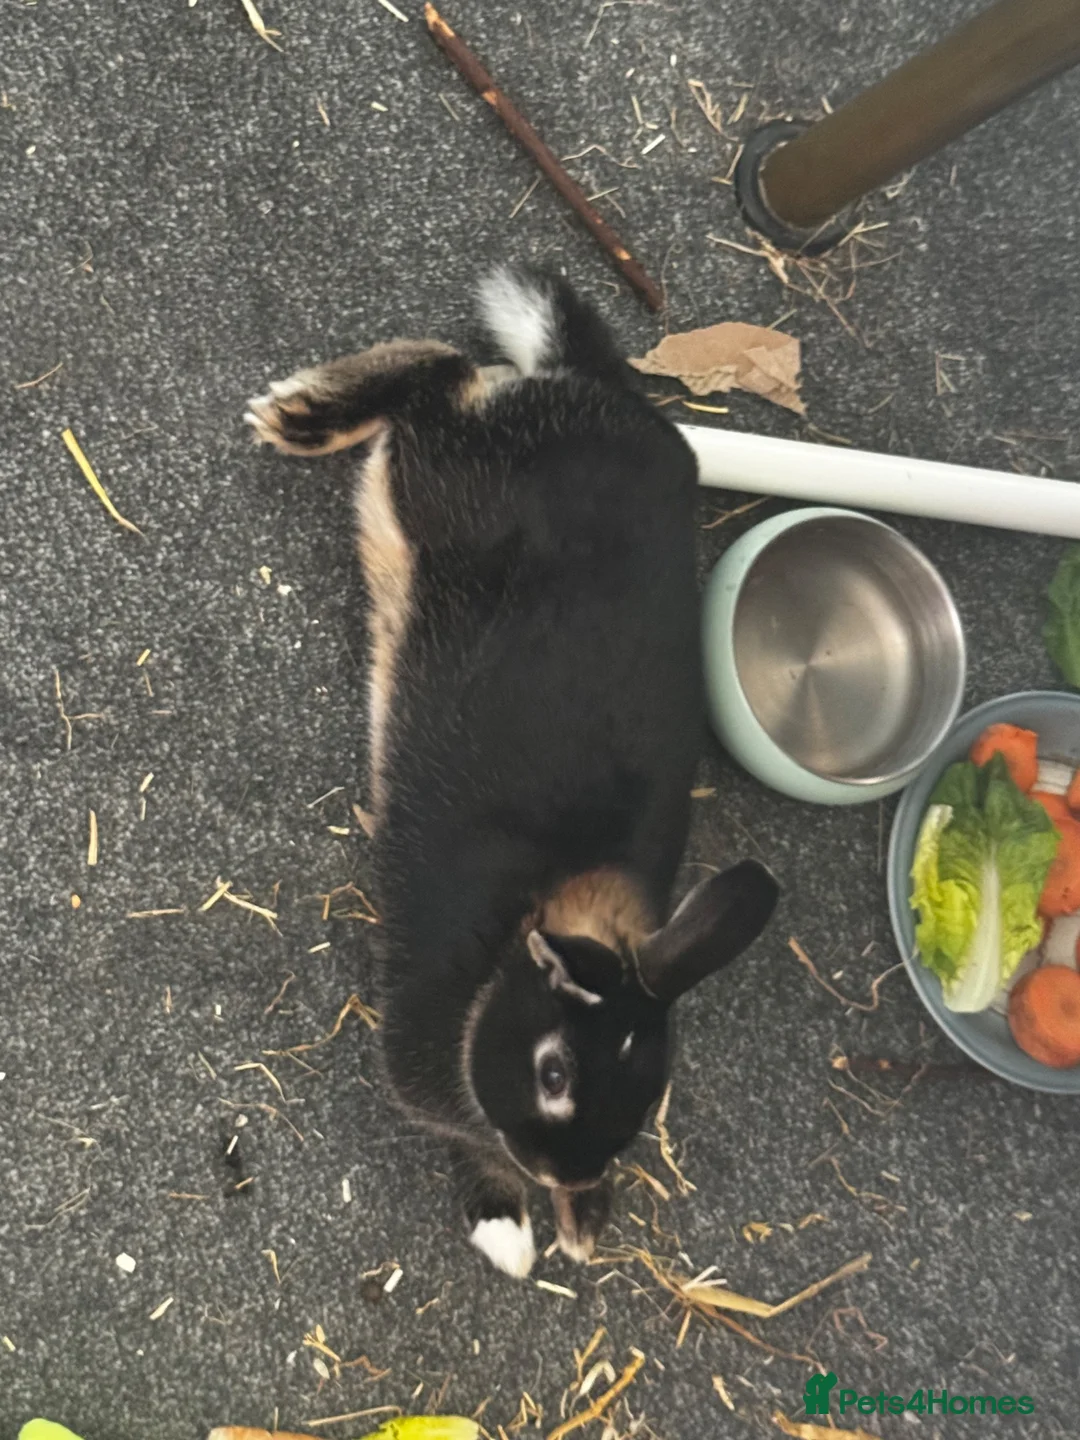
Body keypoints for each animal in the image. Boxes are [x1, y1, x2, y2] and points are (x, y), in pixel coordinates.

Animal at [246, 266, 779, 1277]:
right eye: (555, 1073)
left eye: (647, 1092)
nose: (562, 1173)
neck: (523, 949)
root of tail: (592, 388)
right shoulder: (421, 1045)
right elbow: (457, 1133)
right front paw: (509, 1231)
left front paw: (580, 1227)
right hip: (434, 483)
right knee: (444, 377)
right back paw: (298, 416)